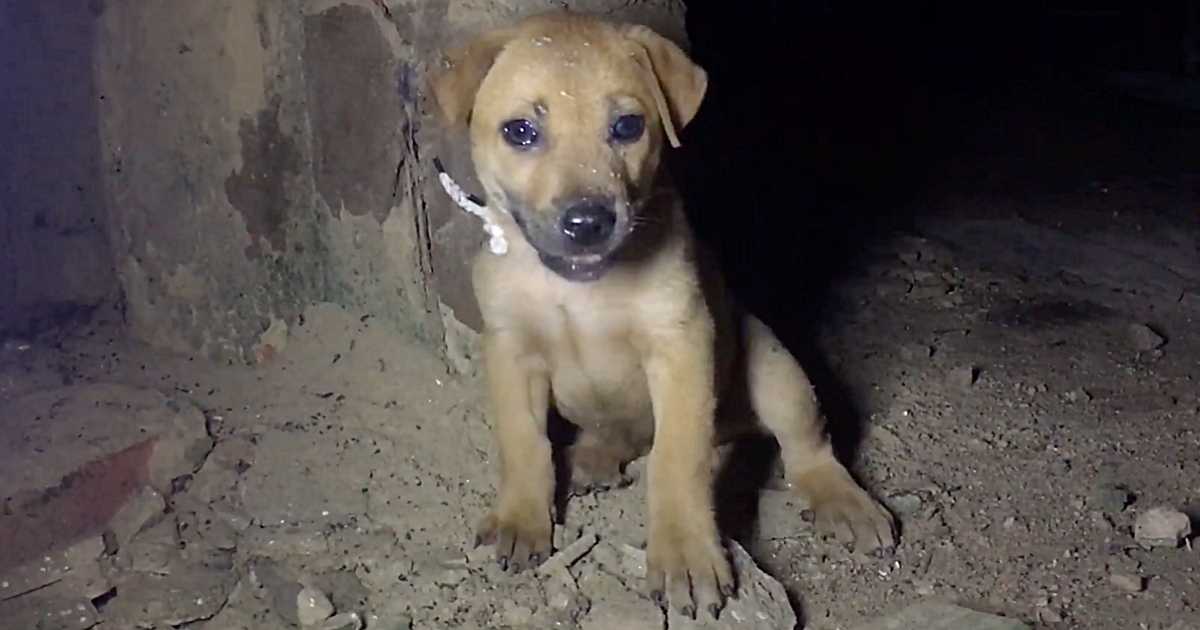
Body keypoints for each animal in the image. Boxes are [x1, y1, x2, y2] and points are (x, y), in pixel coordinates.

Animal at [429, 12, 892, 614]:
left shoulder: (681, 345)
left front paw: (685, 558)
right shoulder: (510, 348)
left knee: (806, 445)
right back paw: (593, 458)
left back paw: (846, 503)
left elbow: (676, 462)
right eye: (520, 131)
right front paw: (520, 519)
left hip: (775, 367)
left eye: (628, 126)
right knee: (620, 434)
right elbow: (523, 441)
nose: (588, 222)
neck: (579, 289)